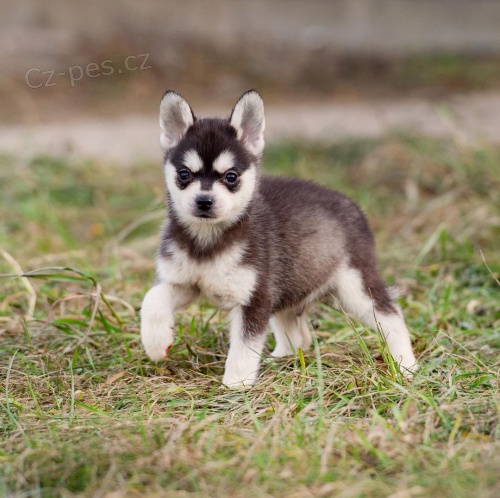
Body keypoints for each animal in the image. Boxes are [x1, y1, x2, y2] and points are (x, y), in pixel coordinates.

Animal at [141, 89, 418, 388]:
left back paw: (405, 366)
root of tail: (353, 205)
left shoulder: (255, 298)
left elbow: (243, 348)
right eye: (184, 174)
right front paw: (156, 342)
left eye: (231, 177)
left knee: (392, 317)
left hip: (355, 288)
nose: (204, 201)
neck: (208, 240)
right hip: (287, 289)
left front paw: (235, 385)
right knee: (299, 336)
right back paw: (281, 360)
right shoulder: (181, 282)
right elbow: (151, 298)